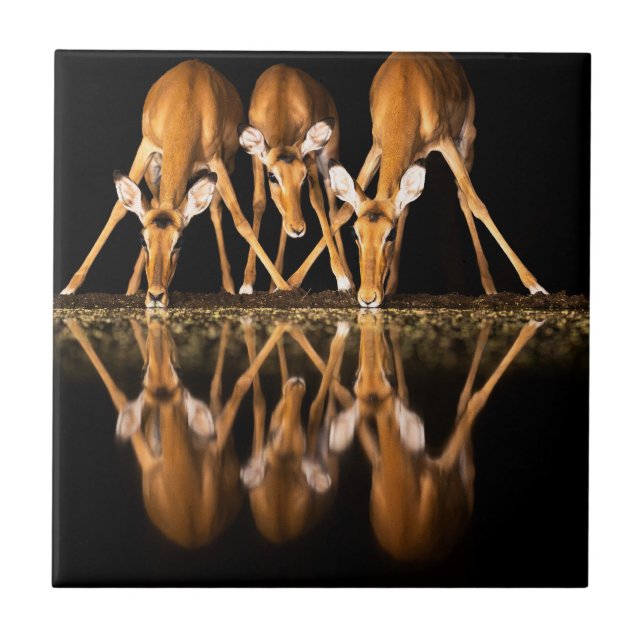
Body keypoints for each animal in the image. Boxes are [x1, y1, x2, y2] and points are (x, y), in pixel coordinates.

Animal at [60, 59, 292, 308]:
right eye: (142, 240)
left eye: (179, 242)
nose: (156, 295)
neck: (187, 104)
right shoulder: (146, 147)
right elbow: (118, 210)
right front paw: (70, 287)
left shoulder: (216, 162)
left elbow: (240, 220)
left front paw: (283, 286)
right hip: (155, 170)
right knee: (153, 201)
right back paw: (131, 287)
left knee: (215, 209)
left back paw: (229, 285)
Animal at [64, 313, 243, 548]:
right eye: (144, 370)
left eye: (179, 371)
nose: (158, 339)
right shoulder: (147, 459)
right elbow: (119, 396)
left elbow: (240, 384)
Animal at [237, 64, 353, 294]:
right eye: (272, 176)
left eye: (303, 176)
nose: (298, 229)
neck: (281, 93)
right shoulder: (256, 158)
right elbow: (259, 203)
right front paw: (247, 284)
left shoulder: (309, 155)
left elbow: (317, 200)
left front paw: (342, 279)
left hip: (327, 158)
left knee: (333, 208)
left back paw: (349, 279)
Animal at [290, 52, 548, 307]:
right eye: (356, 234)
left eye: (390, 234)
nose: (368, 297)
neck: (406, 90)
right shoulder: (377, 148)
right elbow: (344, 212)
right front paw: (294, 281)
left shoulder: (445, 142)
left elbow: (478, 205)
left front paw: (536, 286)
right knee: (406, 207)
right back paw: (391, 286)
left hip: (465, 142)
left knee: (463, 197)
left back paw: (490, 287)